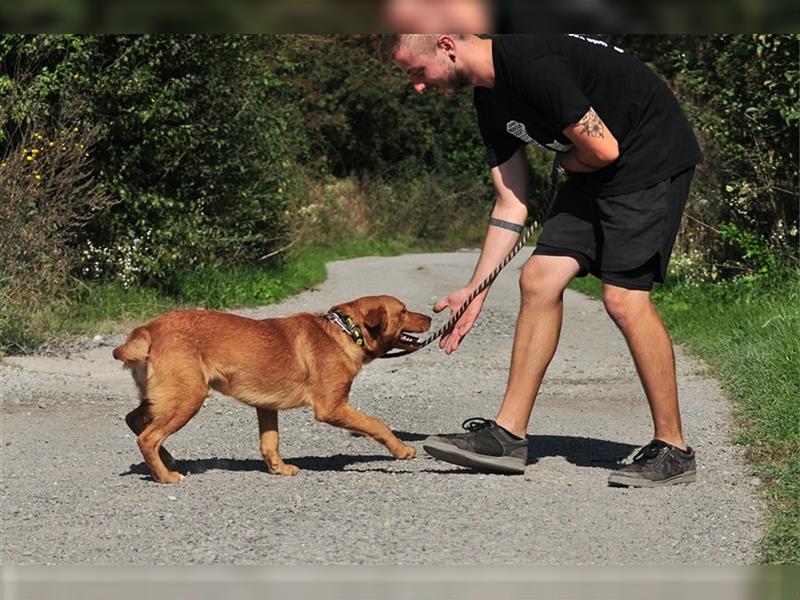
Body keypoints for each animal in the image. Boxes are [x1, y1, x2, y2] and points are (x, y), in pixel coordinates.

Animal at [112, 296, 432, 482]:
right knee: (147, 437)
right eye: (404, 311)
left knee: (134, 420)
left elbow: (270, 443)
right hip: (188, 397)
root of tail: (148, 329)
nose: (430, 317)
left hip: (165, 396)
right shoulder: (331, 407)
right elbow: (376, 424)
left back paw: (166, 459)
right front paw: (401, 449)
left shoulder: (266, 407)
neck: (346, 331)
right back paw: (165, 476)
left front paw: (279, 469)